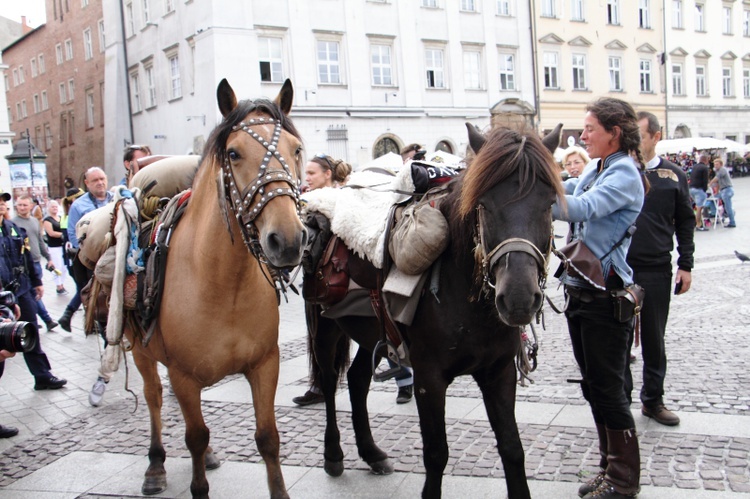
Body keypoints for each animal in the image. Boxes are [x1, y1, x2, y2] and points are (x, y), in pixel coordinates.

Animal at [128, 80, 306, 498]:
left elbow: (267, 437)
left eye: (296, 150)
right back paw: (155, 464)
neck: (225, 285)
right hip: (139, 351)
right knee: (154, 397)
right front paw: (196, 481)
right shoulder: (184, 375)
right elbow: (195, 435)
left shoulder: (264, 364)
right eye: (234, 153)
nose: (287, 240)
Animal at [306, 123, 564, 498]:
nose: (517, 297)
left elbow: (512, 448)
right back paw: (333, 455)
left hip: (370, 334)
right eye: (483, 205)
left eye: (548, 204)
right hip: (326, 328)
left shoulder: (499, 372)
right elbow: (436, 453)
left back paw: (372, 454)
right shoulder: (429, 378)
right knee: (328, 384)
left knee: (357, 380)